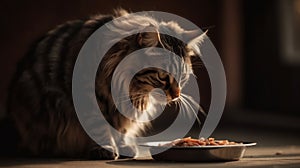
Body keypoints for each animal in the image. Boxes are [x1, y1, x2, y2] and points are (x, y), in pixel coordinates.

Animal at [8, 9, 207, 160]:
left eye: (182, 77)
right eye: (162, 76)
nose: (176, 96)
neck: (130, 88)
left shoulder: (123, 111)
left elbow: (121, 129)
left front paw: (123, 146)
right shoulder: (86, 96)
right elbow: (98, 125)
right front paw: (105, 148)